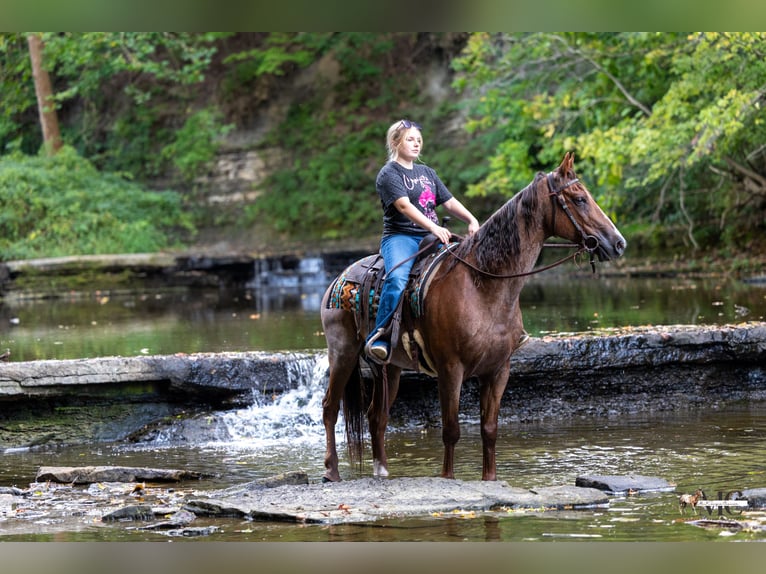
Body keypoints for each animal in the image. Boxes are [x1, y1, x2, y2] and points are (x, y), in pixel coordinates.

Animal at [320, 152, 626, 482]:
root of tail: (337, 280)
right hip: (343, 352)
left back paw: (381, 471)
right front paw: (448, 477)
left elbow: (489, 430)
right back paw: (331, 471)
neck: (484, 285)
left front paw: (489, 478)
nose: (619, 243)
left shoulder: (498, 369)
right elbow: (451, 431)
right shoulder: (450, 369)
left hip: (389, 368)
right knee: (330, 409)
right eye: (580, 199)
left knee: (377, 416)